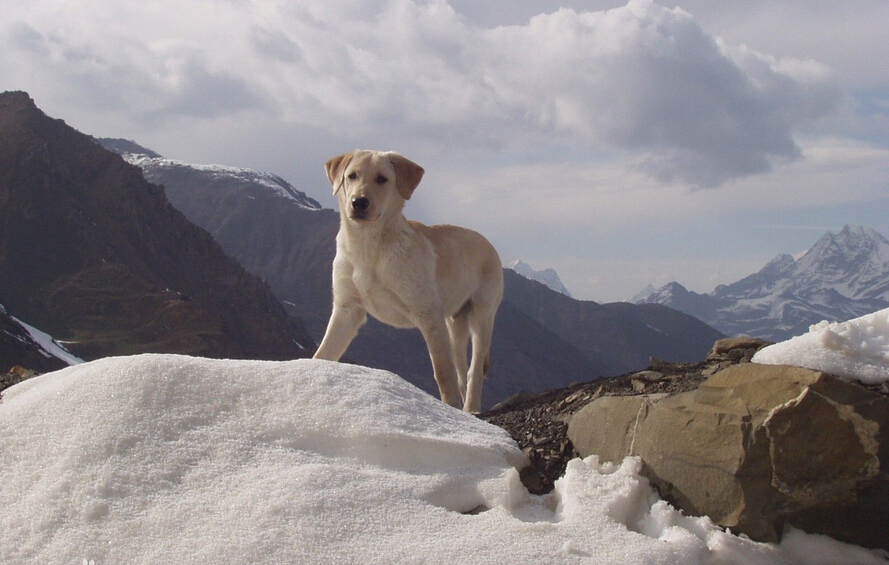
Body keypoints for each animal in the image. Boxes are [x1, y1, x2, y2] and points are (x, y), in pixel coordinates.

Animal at [316, 149, 502, 414]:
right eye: (352, 175)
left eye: (382, 179)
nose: (359, 202)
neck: (368, 246)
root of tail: (489, 243)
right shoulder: (347, 309)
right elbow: (323, 353)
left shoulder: (428, 315)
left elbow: (442, 373)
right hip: (455, 326)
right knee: (461, 369)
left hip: (481, 317)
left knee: (473, 370)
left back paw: (470, 409)